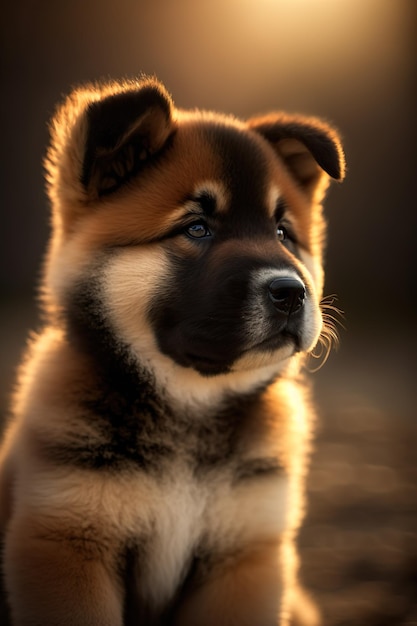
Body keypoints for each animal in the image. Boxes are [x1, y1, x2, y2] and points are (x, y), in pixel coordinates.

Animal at [0, 78, 342, 624]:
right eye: (196, 228)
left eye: (283, 233)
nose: (292, 292)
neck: (190, 407)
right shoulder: (67, 539)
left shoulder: (245, 553)